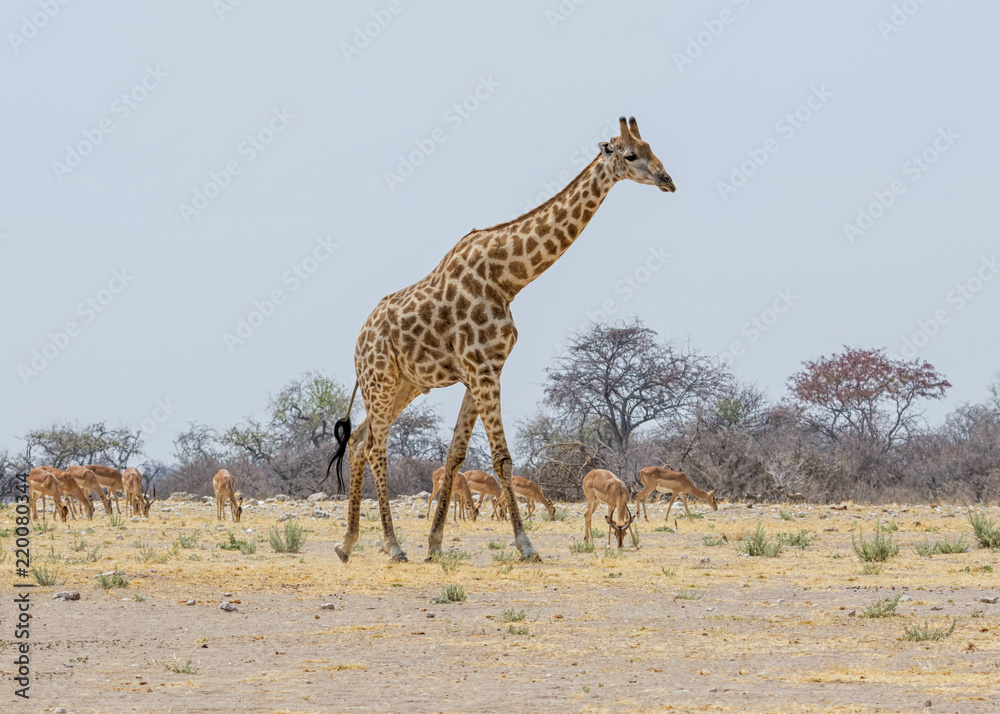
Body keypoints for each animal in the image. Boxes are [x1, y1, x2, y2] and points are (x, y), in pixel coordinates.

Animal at [327, 116, 674, 563]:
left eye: (651, 148)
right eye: (631, 155)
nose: (668, 180)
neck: (508, 278)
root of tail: (358, 339)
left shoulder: (480, 371)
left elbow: (455, 455)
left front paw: (435, 544)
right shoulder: (483, 369)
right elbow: (503, 459)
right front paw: (526, 546)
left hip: (405, 384)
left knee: (358, 441)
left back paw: (348, 543)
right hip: (380, 380)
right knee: (375, 448)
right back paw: (391, 545)